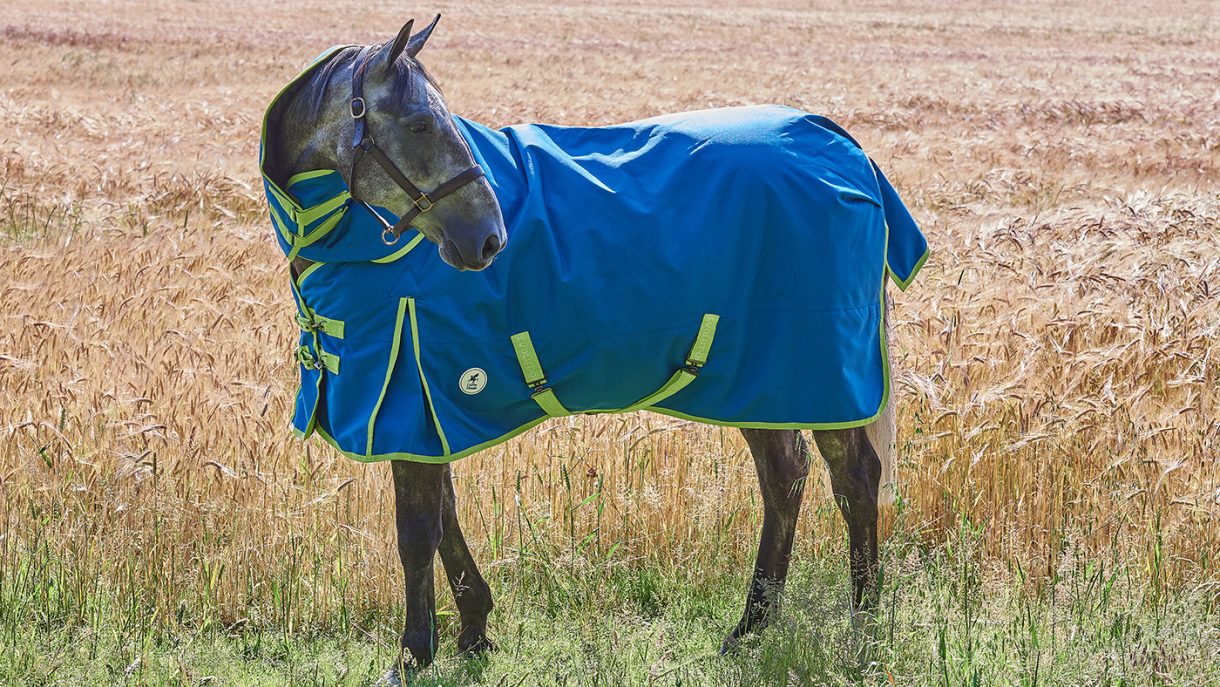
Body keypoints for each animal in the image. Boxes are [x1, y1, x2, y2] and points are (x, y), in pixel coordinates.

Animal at [261, 16, 925, 681]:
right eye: (421, 123)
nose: (488, 238)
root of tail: (843, 147)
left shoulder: (409, 395)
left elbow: (417, 532)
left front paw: (412, 656)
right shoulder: (427, 409)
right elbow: (444, 515)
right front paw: (473, 631)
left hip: (818, 375)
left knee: (855, 480)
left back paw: (861, 629)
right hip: (762, 383)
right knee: (785, 478)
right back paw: (751, 630)